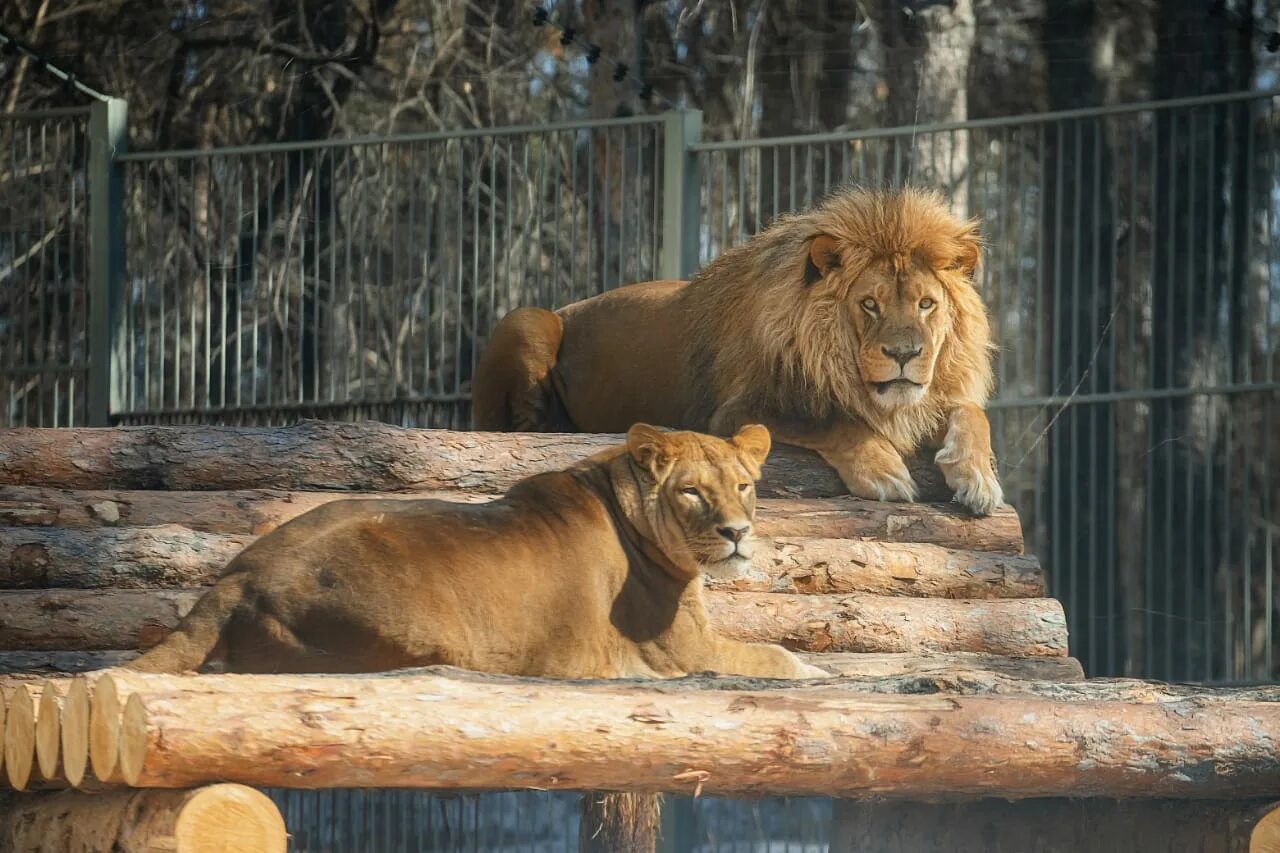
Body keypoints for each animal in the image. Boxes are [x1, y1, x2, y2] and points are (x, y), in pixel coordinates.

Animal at [127, 417, 829, 676]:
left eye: (743, 486)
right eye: (691, 493)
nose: (737, 532)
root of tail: (236, 577)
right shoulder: (683, 652)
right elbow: (776, 657)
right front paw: (813, 671)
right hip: (412, 632)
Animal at [476, 184, 1003, 512]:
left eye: (926, 304)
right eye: (869, 304)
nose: (904, 354)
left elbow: (974, 414)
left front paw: (978, 478)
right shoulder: (736, 412)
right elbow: (832, 419)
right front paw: (884, 472)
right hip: (525, 319)